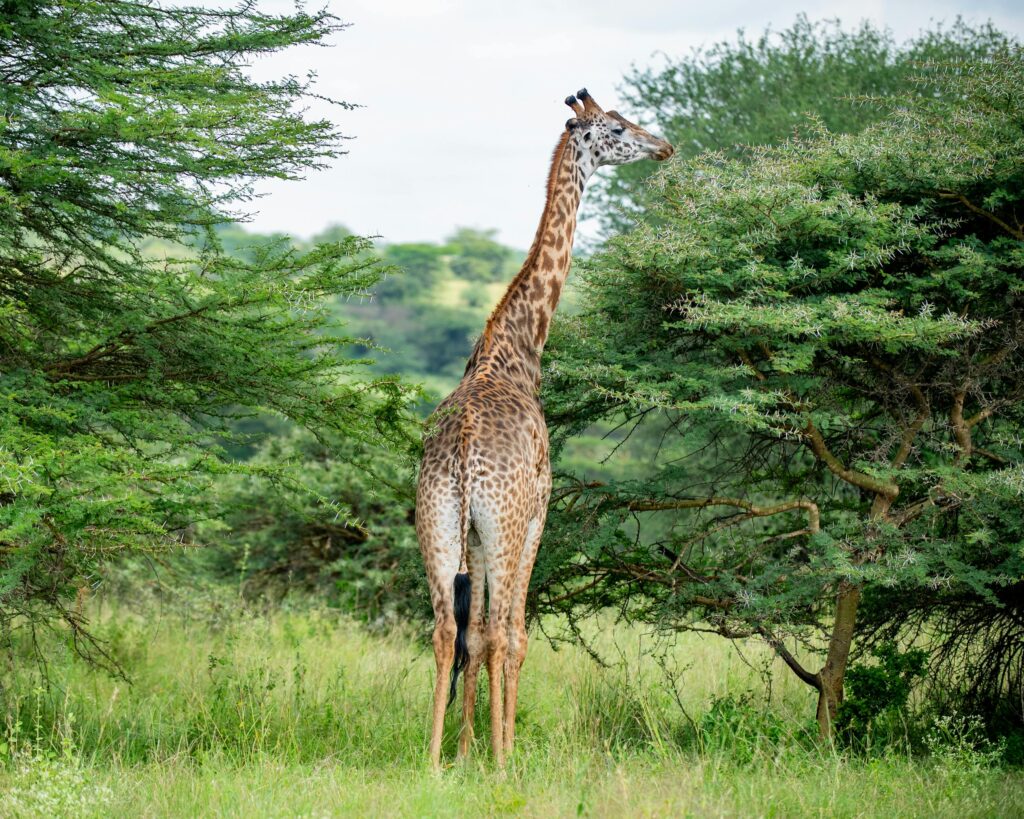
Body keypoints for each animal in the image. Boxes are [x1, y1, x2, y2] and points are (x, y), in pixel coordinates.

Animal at [413, 89, 671, 769]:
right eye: (616, 128)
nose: (665, 146)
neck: (519, 347)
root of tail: (462, 456)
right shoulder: (537, 515)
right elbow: (513, 635)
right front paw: (497, 752)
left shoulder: (478, 535)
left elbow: (475, 634)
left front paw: (466, 753)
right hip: (504, 525)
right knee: (506, 631)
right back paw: (502, 762)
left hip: (439, 522)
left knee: (446, 629)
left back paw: (431, 761)